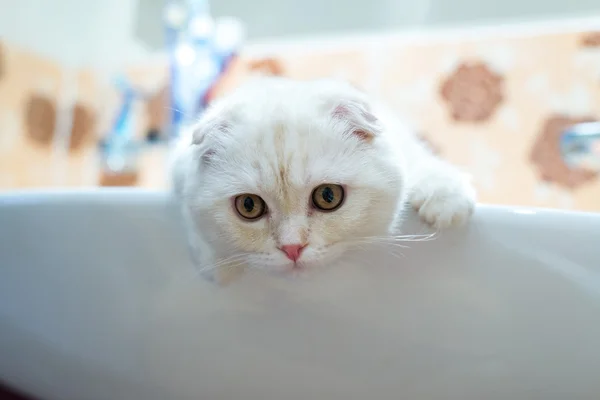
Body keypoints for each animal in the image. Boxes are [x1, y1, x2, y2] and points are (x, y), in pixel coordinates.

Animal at [169, 76, 474, 282]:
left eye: (328, 196)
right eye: (248, 206)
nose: (292, 249)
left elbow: (418, 159)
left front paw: (446, 200)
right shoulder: (179, 165)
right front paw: (217, 263)